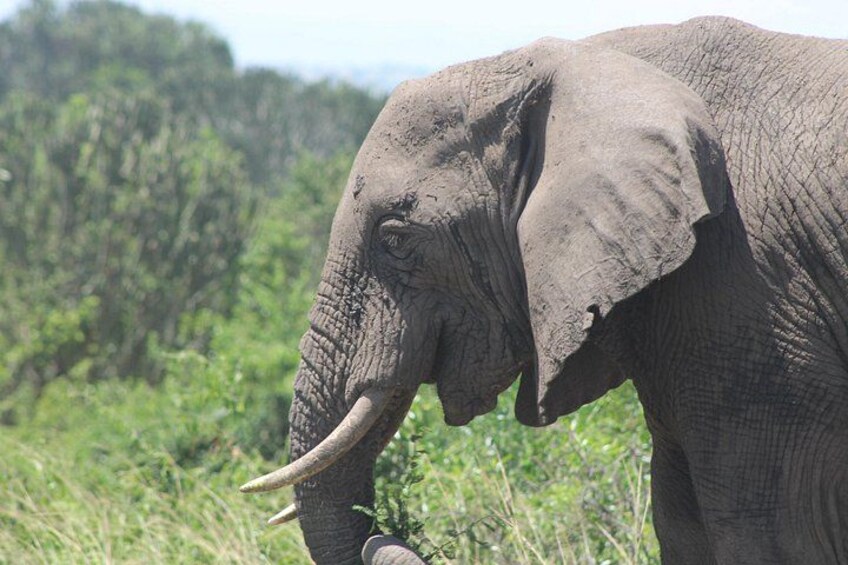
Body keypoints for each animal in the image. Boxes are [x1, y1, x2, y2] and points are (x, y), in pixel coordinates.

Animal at [240, 16, 848, 564]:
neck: (585, 60)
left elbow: (767, 537)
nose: (389, 531)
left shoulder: (757, 297)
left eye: (395, 237)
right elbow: (679, 524)